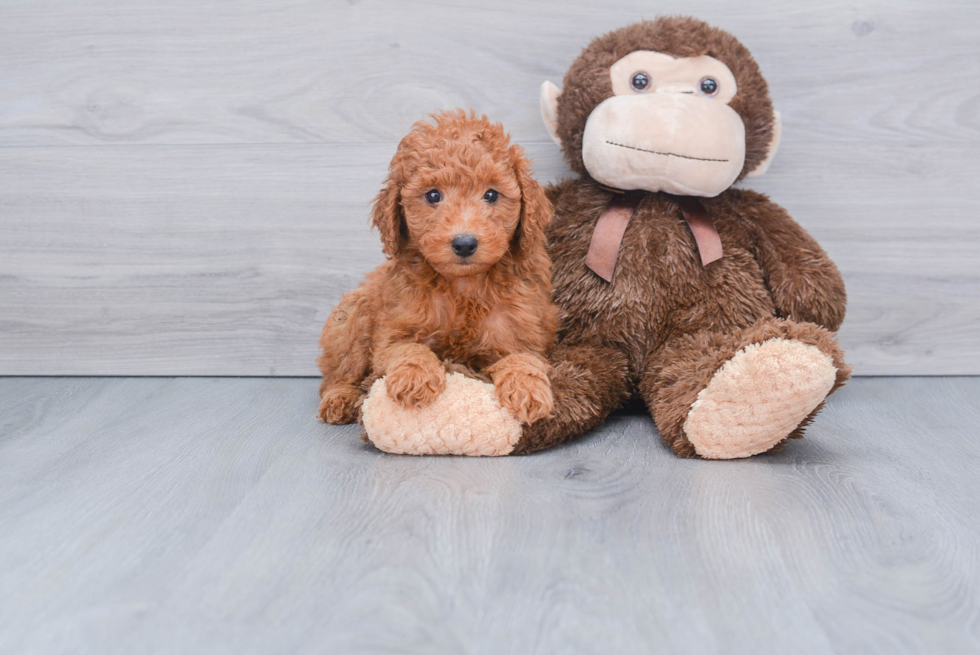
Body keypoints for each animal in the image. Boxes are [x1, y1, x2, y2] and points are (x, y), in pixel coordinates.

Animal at [316, 110, 556, 428]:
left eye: (491, 195)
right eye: (432, 196)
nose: (464, 243)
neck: (463, 285)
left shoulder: (522, 334)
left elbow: (523, 360)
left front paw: (526, 391)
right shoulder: (392, 333)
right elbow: (410, 349)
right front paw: (413, 378)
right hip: (351, 317)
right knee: (337, 374)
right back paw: (339, 398)